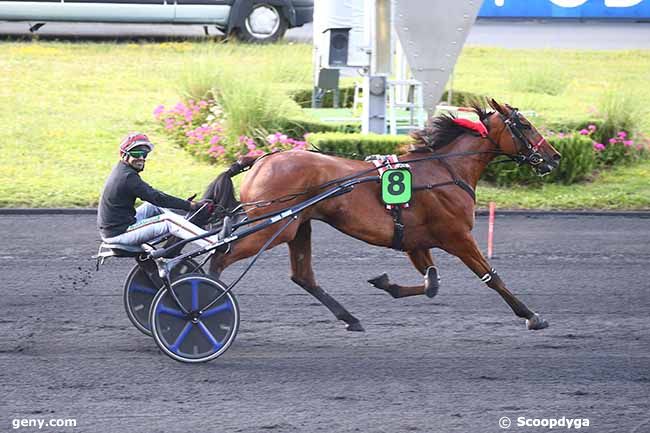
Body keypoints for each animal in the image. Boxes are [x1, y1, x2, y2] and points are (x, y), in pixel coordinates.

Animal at [201, 98, 556, 330]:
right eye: (525, 125)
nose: (554, 157)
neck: (446, 170)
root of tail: (262, 159)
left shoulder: (416, 241)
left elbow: (431, 283)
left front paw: (385, 283)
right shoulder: (457, 236)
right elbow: (491, 276)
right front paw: (531, 315)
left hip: (298, 225)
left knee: (303, 276)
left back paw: (350, 319)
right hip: (274, 224)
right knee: (220, 256)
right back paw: (206, 303)